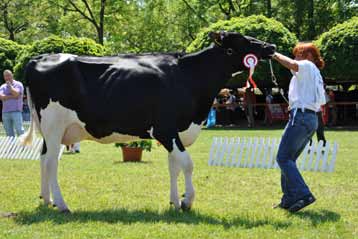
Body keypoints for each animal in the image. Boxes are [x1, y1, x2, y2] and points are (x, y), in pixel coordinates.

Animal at [21, 32, 276, 213]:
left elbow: (174, 166)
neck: (189, 76)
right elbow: (187, 164)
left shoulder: (175, 132)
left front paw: (175, 202)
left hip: (51, 131)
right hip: (54, 126)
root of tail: (40, 58)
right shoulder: (165, 129)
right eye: (242, 40)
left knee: (44, 158)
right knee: (51, 162)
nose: (271, 47)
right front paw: (187, 201)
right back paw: (62, 205)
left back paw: (47, 201)